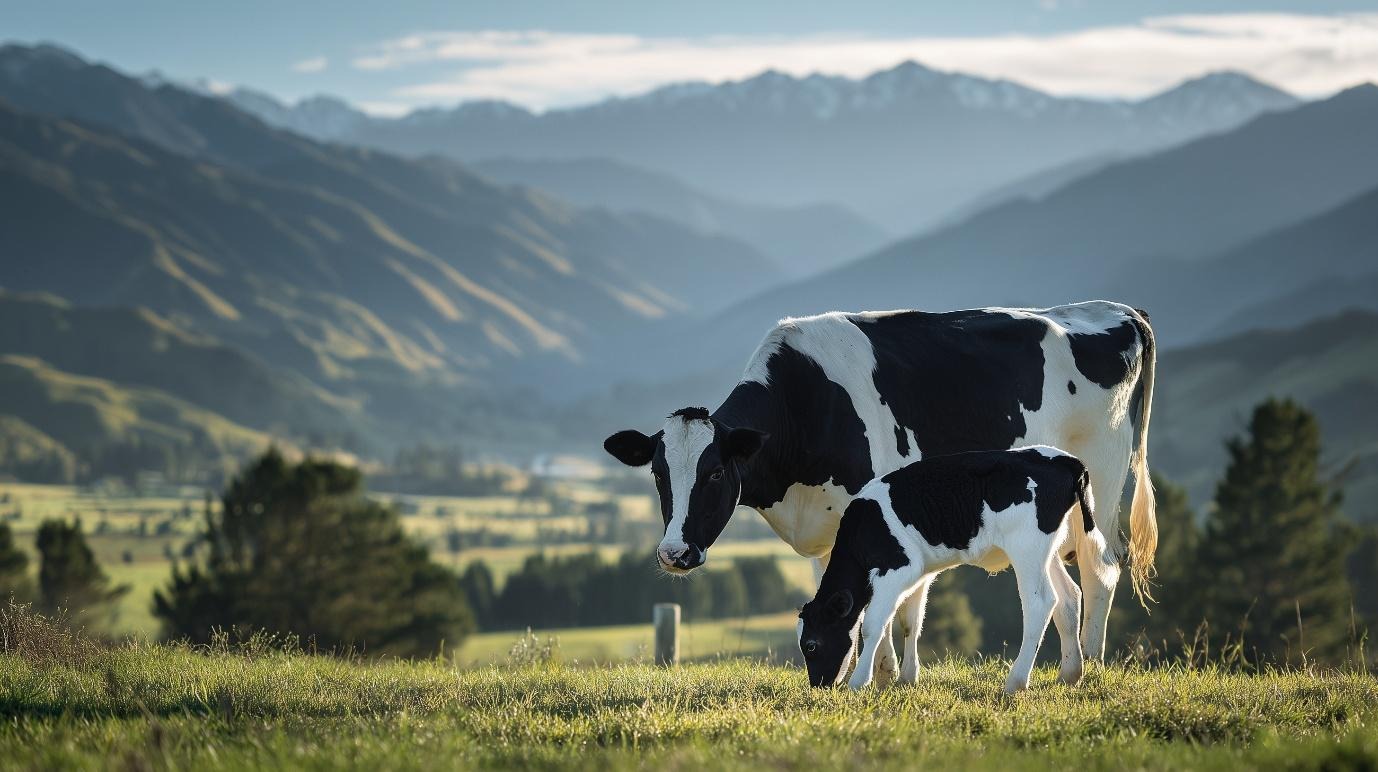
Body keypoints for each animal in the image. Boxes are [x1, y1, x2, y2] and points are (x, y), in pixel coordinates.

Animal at [797, 445, 1108, 693]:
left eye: (811, 645)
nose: (819, 686)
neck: (862, 530)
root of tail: (1063, 459)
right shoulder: (919, 572)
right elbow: (911, 621)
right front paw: (908, 679)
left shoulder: (895, 569)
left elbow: (873, 624)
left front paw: (858, 683)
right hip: (1047, 550)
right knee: (1069, 597)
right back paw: (1070, 674)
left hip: (1027, 548)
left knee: (1041, 602)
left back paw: (1016, 682)